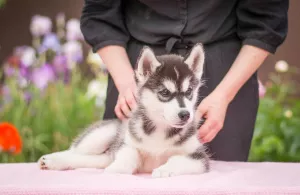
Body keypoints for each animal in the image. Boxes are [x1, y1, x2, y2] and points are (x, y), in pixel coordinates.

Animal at [38, 43, 211, 177]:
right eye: (165, 92)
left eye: (189, 91)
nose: (185, 115)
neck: (160, 129)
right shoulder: (127, 144)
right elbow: (129, 156)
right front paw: (117, 168)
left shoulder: (199, 157)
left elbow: (178, 159)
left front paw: (164, 169)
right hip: (102, 135)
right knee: (75, 151)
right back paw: (52, 159)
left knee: (86, 158)